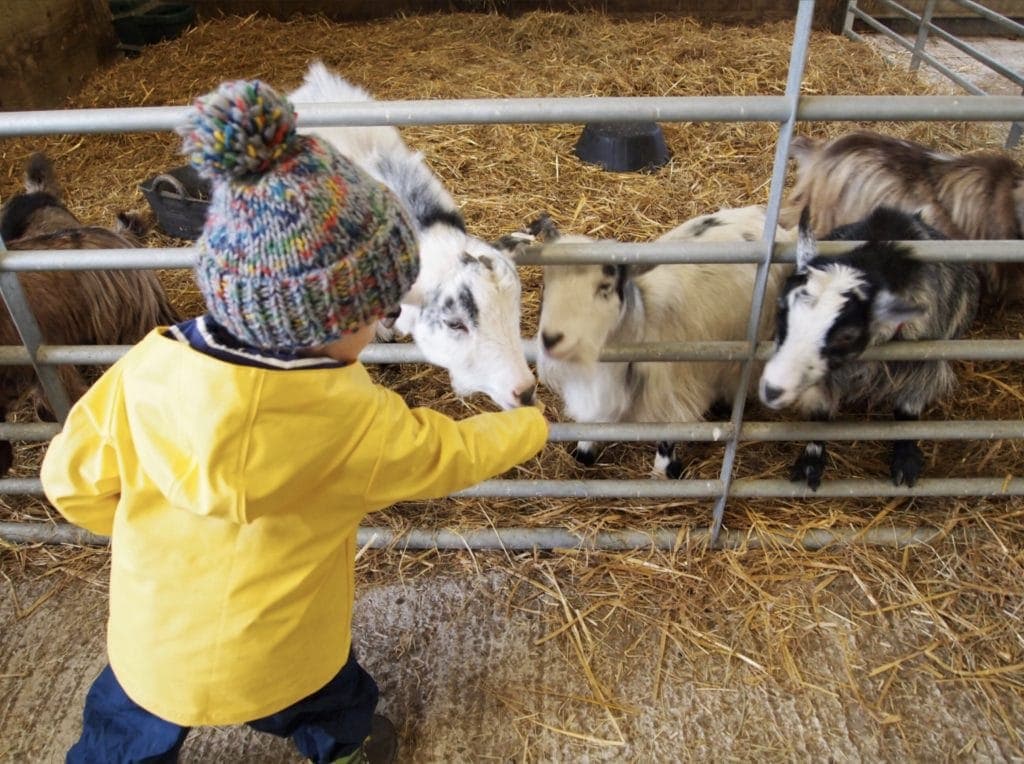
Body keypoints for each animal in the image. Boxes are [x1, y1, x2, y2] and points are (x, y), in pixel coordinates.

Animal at [501, 202, 790, 475]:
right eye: (546, 286)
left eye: (605, 288)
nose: (550, 339)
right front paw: (584, 452)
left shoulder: (673, 392)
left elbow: (667, 435)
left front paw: (664, 471)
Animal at [765, 203, 978, 487]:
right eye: (782, 310)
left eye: (847, 335)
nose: (771, 390)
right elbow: (819, 414)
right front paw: (811, 461)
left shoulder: (923, 366)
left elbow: (907, 410)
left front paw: (905, 460)